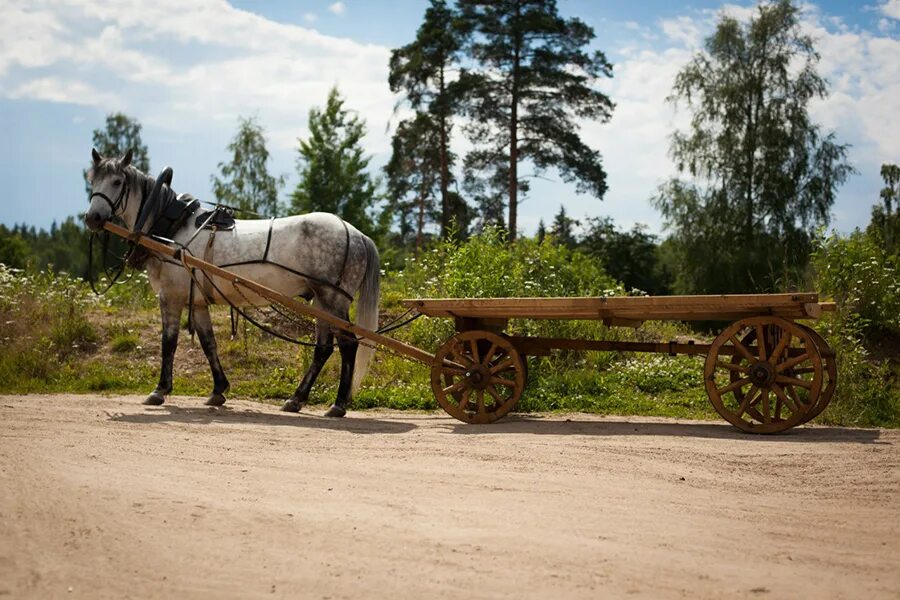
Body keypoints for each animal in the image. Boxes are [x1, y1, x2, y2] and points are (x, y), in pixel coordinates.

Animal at [84, 149, 380, 418]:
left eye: (117, 182)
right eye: (92, 180)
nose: (92, 218)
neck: (171, 229)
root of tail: (356, 234)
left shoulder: (171, 297)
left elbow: (168, 342)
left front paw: (160, 390)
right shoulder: (197, 301)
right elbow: (208, 343)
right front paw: (218, 390)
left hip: (333, 299)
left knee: (347, 346)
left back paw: (338, 405)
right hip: (321, 301)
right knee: (323, 349)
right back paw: (296, 399)